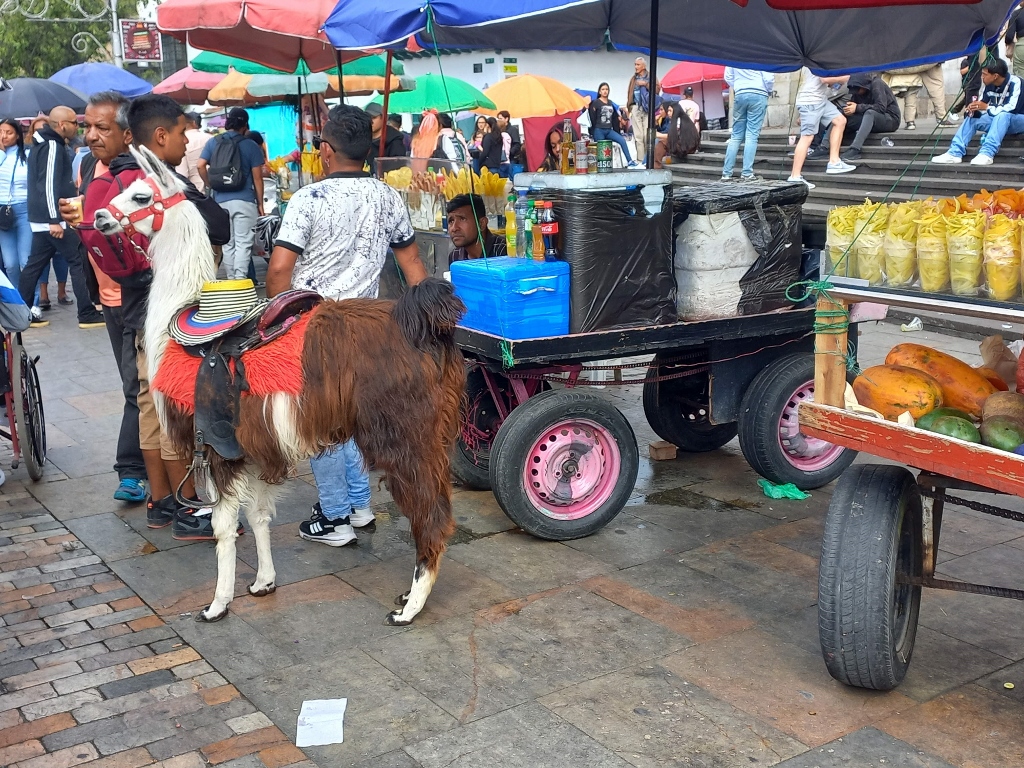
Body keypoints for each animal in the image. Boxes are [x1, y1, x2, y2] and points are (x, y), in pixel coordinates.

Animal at [94, 146, 466, 625]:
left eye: (140, 195)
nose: (99, 216)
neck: (179, 327)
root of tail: (422, 322)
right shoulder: (255, 447)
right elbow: (259, 516)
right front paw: (262, 583)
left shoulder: (217, 445)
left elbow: (223, 526)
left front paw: (217, 604)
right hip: (432, 432)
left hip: (405, 432)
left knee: (431, 514)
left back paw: (409, 607)